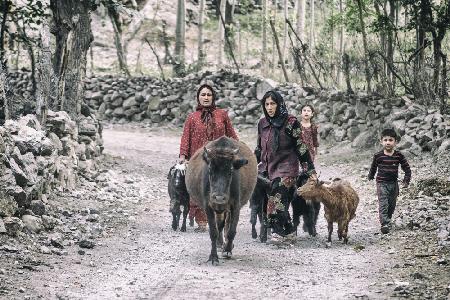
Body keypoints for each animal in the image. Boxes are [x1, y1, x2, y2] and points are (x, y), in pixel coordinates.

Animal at [185, 136, 256, 264]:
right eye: (210, 170)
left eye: (230, 171)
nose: (219, 198)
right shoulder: (208, 206)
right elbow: (213, 231)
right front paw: (213, 257)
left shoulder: (236, 206)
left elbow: (232, 230)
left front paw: (227, 250)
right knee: (220, 224)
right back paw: (219, 243)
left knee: (225, 224)